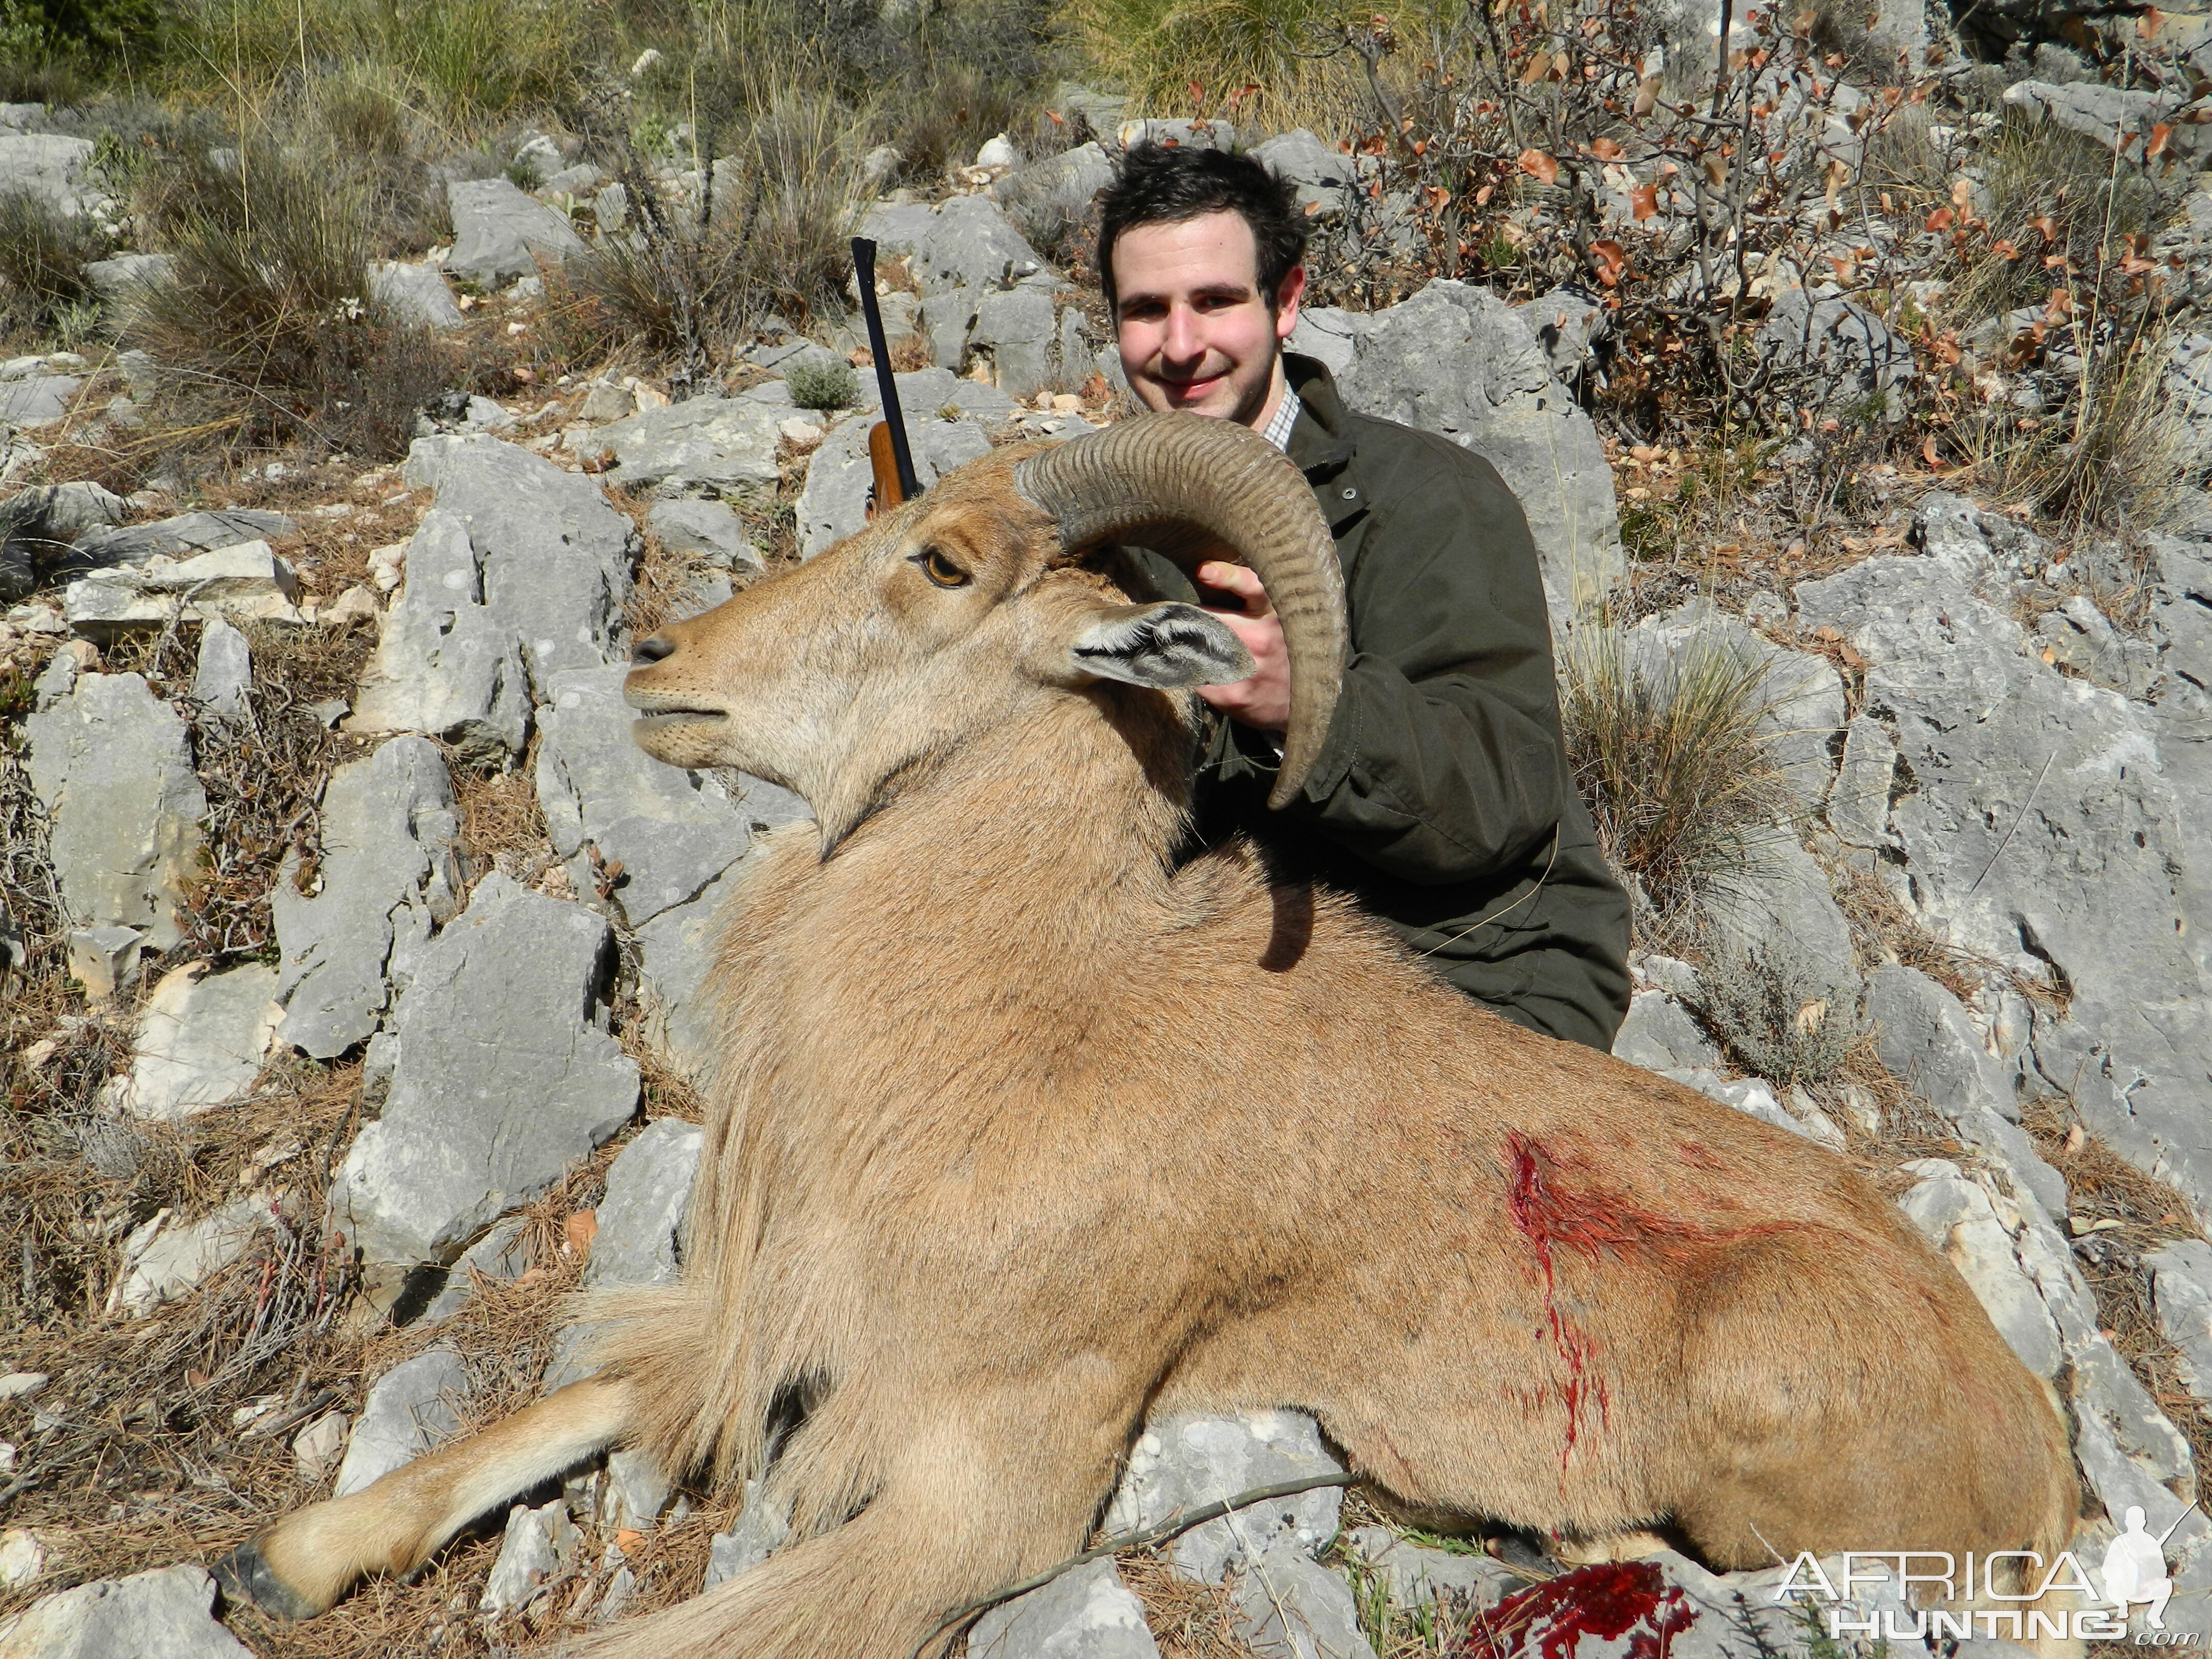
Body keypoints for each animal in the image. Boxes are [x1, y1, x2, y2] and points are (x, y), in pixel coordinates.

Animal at [224, 413, 2070, 1659]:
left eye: (942, 563)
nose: (660, 659)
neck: (1026, 1029)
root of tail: (2043, 1456)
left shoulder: (983, 1486)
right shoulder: (779, 1324)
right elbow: (574, 1406)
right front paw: (285, 1557)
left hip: (1771, 1373)